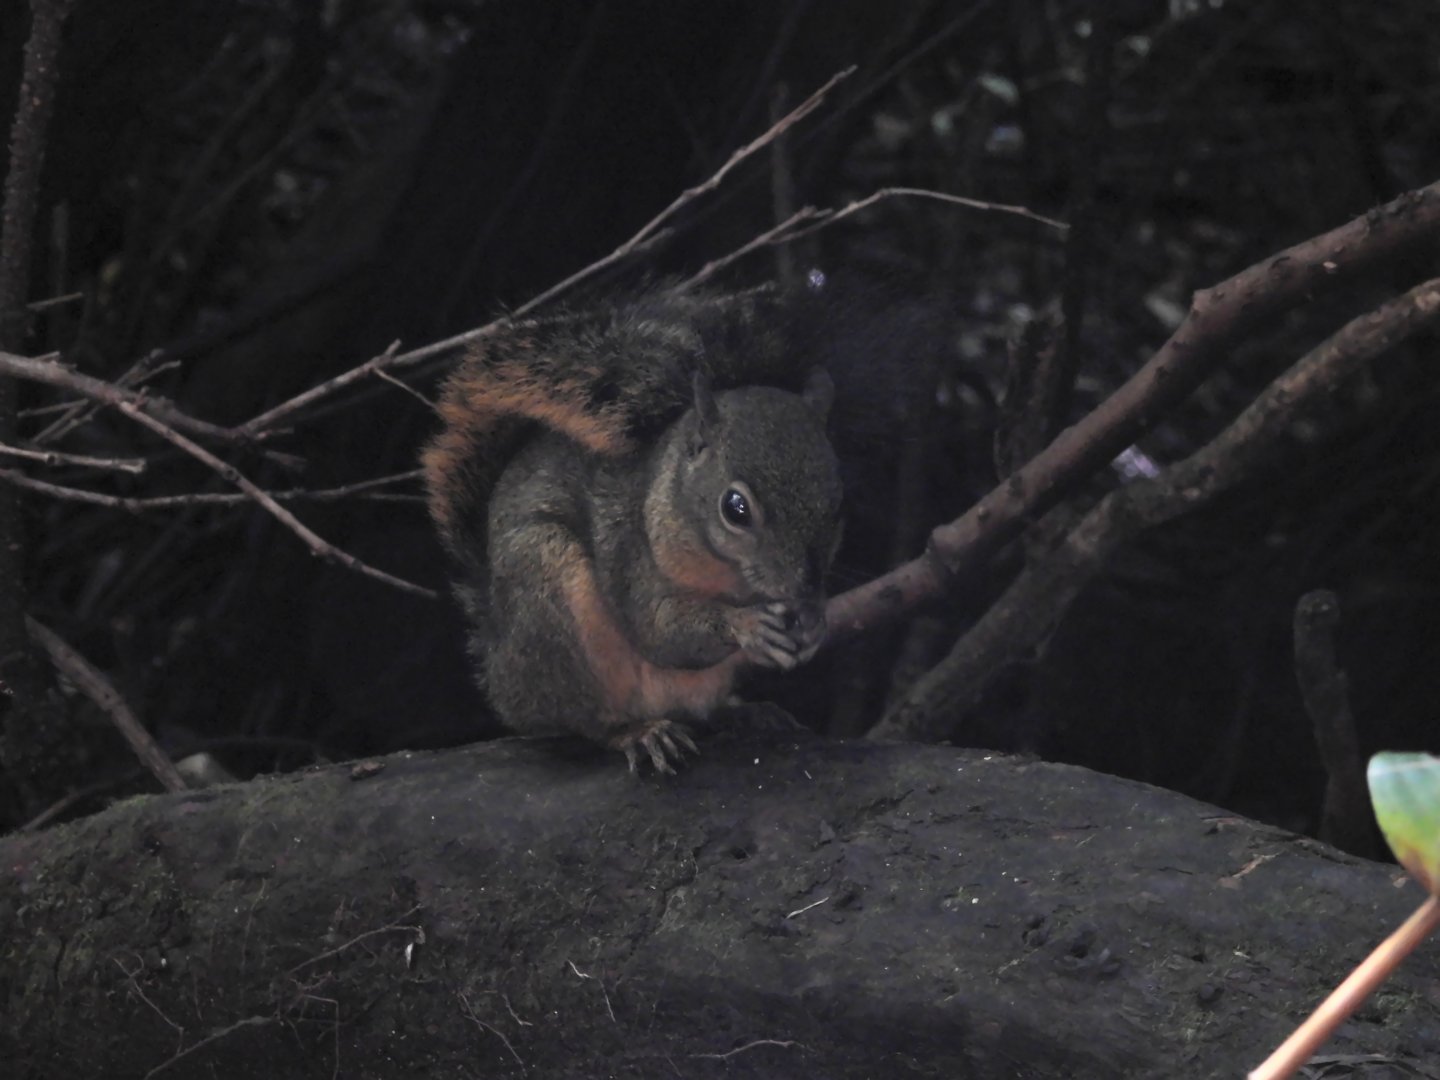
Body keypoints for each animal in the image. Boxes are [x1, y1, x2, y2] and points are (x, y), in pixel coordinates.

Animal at [423, 288, 843, 772]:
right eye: (735, 509)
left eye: (838, 503)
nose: (803, 589)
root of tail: (497, 665)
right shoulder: (629, 551)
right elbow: (659, 631)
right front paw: (747, 624)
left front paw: (814, 625)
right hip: (545, 590)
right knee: (582, 719)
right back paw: (635, 733)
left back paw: (745, 713)